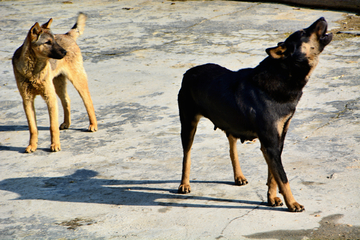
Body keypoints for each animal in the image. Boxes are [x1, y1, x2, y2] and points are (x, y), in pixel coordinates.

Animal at [12, 13, 97, 153]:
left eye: (55, 41)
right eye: (48, 42)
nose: (65, 52)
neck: (33, 70)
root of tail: (67, 35)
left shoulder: (50, 97)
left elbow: (53, 126)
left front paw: (55, 145)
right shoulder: (27, 100)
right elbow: (33, 128)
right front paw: (32, 146)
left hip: (77, 80)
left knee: (88, 101)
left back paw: (93, 124)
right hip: (58, 83)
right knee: (66, 100)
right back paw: (67, 123)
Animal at [177, 17, 332, 212]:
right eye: (303, 32)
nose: (323, 18)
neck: (283, 74)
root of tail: (188, 72)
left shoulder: (277, 140)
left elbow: (273, 175)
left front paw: (272, 197)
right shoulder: (270, 143)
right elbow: (283, 177)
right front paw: (293, 203)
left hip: (230, 122)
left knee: (232, 148)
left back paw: (238, 176)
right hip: (188, 124)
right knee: (186, 155)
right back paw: (184, 184)